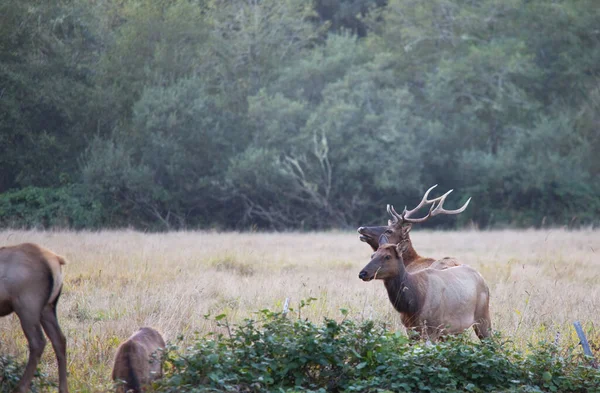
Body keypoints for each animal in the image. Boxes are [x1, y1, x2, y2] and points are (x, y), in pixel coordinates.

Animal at [0, 242, 69, 392]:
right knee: (60, 339)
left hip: (27, 307)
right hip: (47, 308)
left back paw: (20, 387)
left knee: (38, 341)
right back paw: (63, 388)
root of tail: (57, 260)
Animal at [358, 242, 490, 340]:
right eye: (372, 255)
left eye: (387, 256)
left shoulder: (432, 328)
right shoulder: (410, 329)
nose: (363, 273)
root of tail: (482, 278)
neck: (412, 303)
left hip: (482, 317)